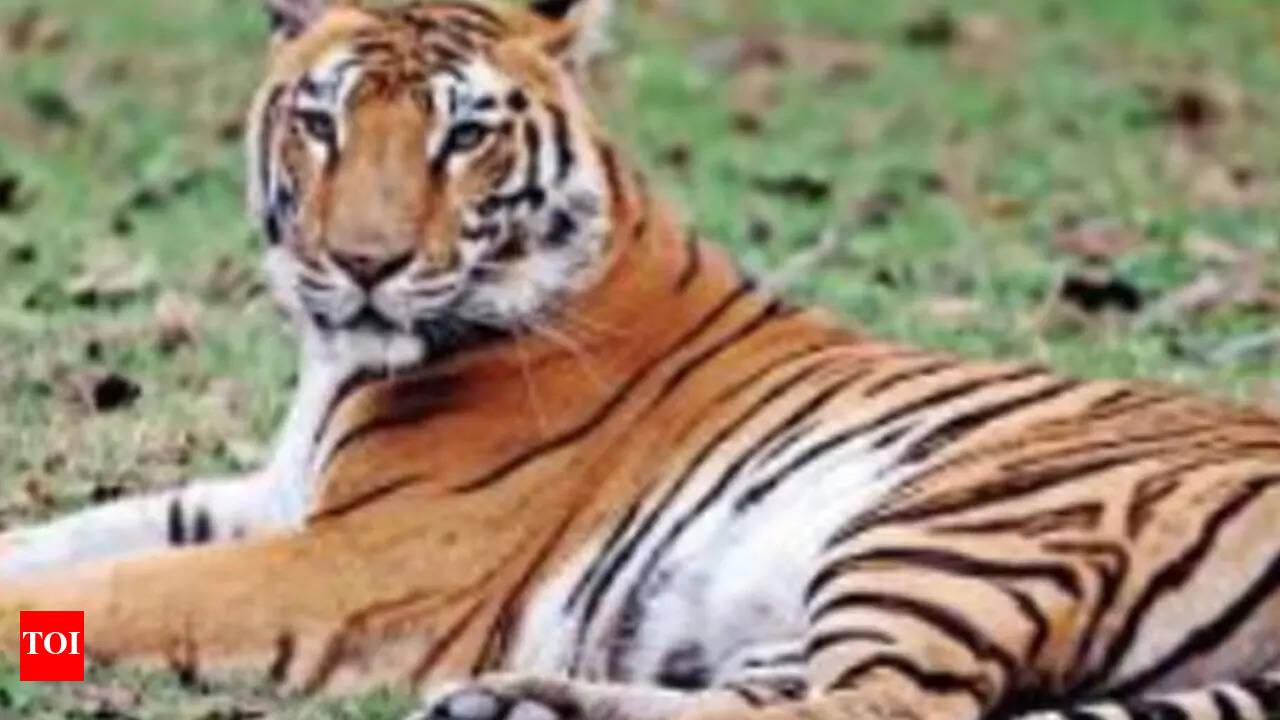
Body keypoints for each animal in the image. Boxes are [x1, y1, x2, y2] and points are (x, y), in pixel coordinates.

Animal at [3, 1, 1280, 719]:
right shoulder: (272, 497)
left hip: (961, 519)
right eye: (321, 122)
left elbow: (120, 587)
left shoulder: (359, 560)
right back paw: (511, 707)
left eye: (465, 135)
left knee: (889, 711)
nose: (363, 262)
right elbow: (79, 535)